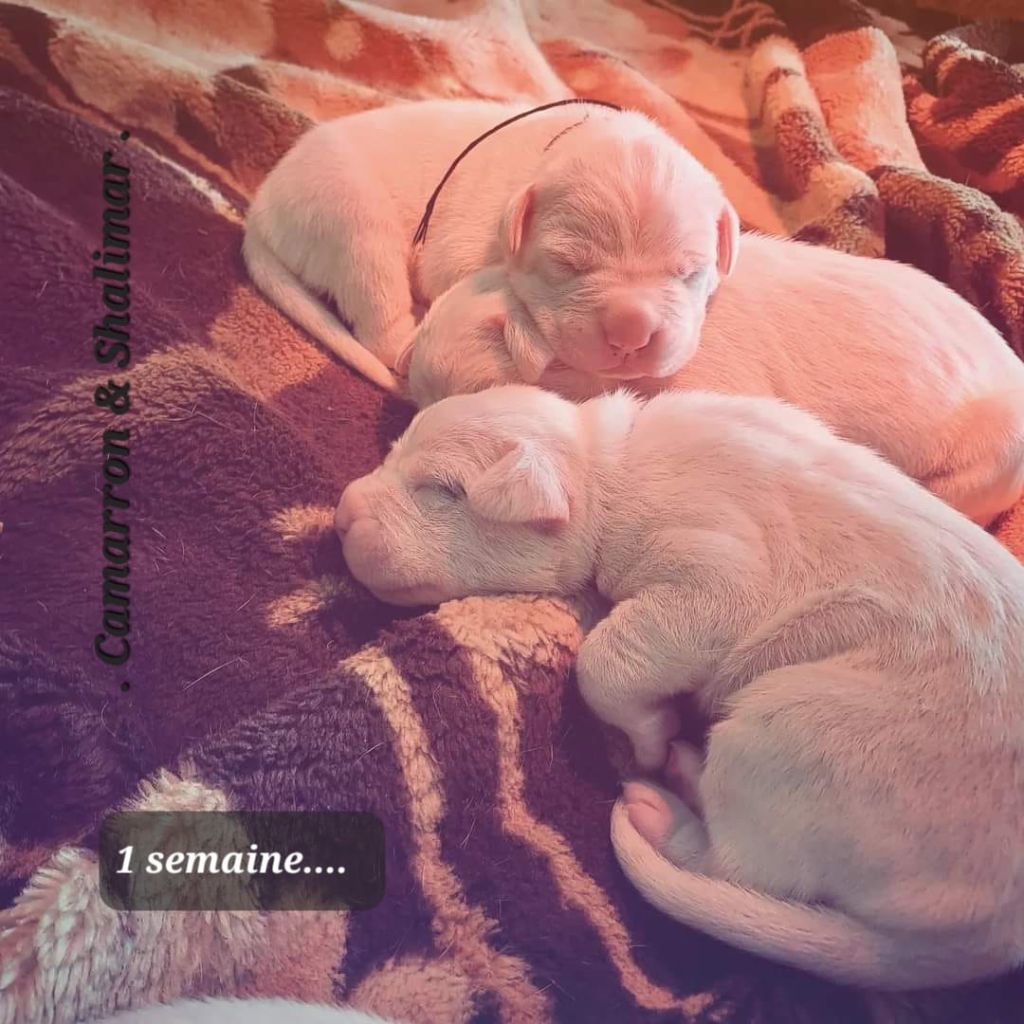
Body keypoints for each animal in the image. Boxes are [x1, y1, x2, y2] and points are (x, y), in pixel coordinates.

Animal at [242, 99, 737, 392]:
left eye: (690, 272)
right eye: (567, 264)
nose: (632, 332)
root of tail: (262, 207)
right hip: (353, 220)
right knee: (382, 324)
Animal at [335, 384, 1024, 990]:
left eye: (442, 490)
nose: (339, 514)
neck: (609, 466)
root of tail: (993, 936)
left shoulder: (715, 573)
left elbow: (604, 658)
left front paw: (648, 734)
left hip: (799, 736)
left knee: (740, 866)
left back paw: (660, 802)